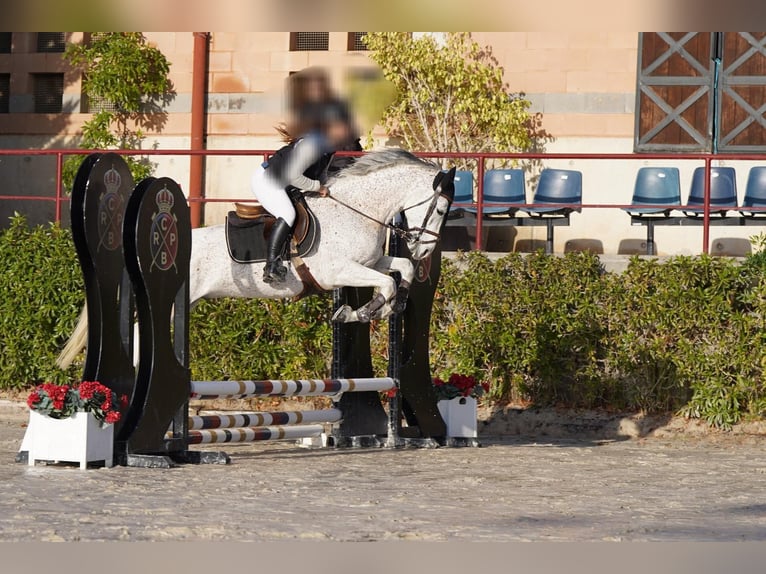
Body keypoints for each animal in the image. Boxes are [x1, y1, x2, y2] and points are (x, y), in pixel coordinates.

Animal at [57, 148, 456, 368]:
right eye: (441, 209)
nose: (425, 250)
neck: (358, 208)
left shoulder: (367, 263)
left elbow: (400, 271)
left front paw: (389, 305)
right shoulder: (338, 270)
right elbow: (386, 283)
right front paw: (360, 311)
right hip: (173, 301)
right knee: (144, 333)